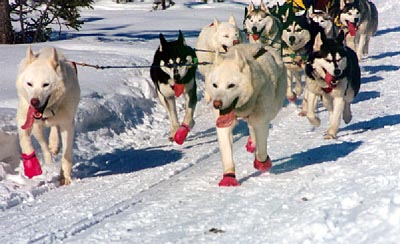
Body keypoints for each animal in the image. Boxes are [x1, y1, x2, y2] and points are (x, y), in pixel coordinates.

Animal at [16, 46, 80, 185]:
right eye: (29, 84)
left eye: (45, 84)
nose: (34, 102)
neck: (48, 110)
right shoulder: (24, 119)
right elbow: (25, 142)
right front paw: (32, 167)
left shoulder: (68, 124)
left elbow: (66, 155)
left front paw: (65, 176)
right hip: (37, 128)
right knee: (44, 144)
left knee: (54, 127)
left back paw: (54, 143)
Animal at [206, 43, 288, 186]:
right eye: (215, 85)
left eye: (231, 85)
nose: (217, 104)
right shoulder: (223, 125)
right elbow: (226, 151)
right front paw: (229, 177)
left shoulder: (261, 120)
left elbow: (261, 148)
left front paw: (262, 163)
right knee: (251, 127)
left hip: (272, 109)